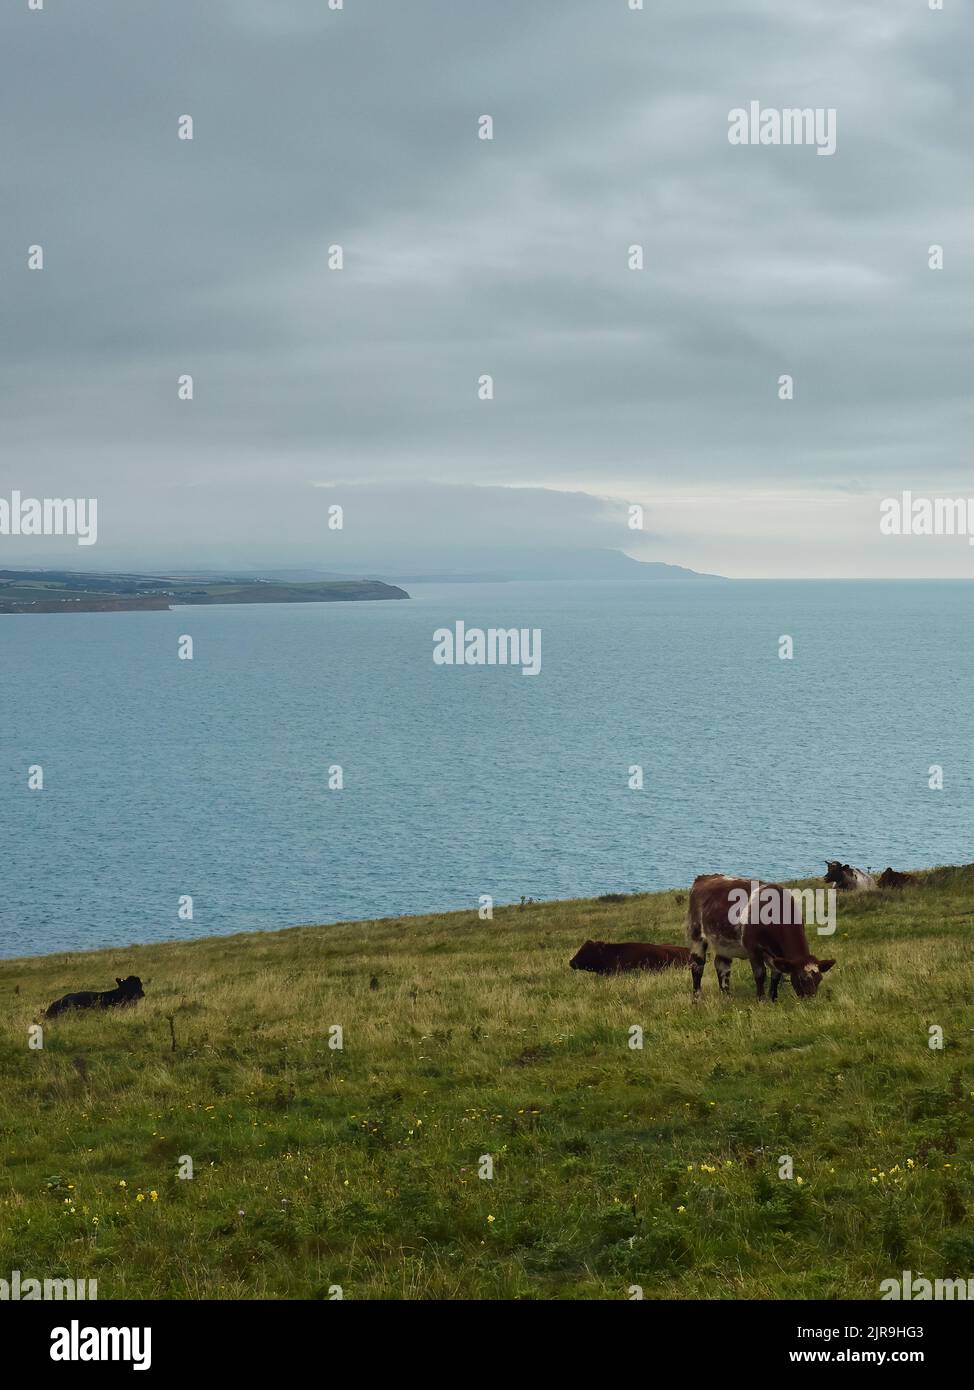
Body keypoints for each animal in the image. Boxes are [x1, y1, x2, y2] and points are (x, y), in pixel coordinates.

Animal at [683, 872, 833, 1006]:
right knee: (697, 966)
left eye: (819, 979)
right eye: (801, 979)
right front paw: (761, 1000)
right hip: (696, 935)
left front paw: (773, 999)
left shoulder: (775, 953)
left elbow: (776, 974)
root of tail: (704, 877)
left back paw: (727, 997)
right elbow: (760, 973)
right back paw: (697, 999)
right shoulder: (753, 948)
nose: (811, 1001)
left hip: (724, 943)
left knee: (722, 967)